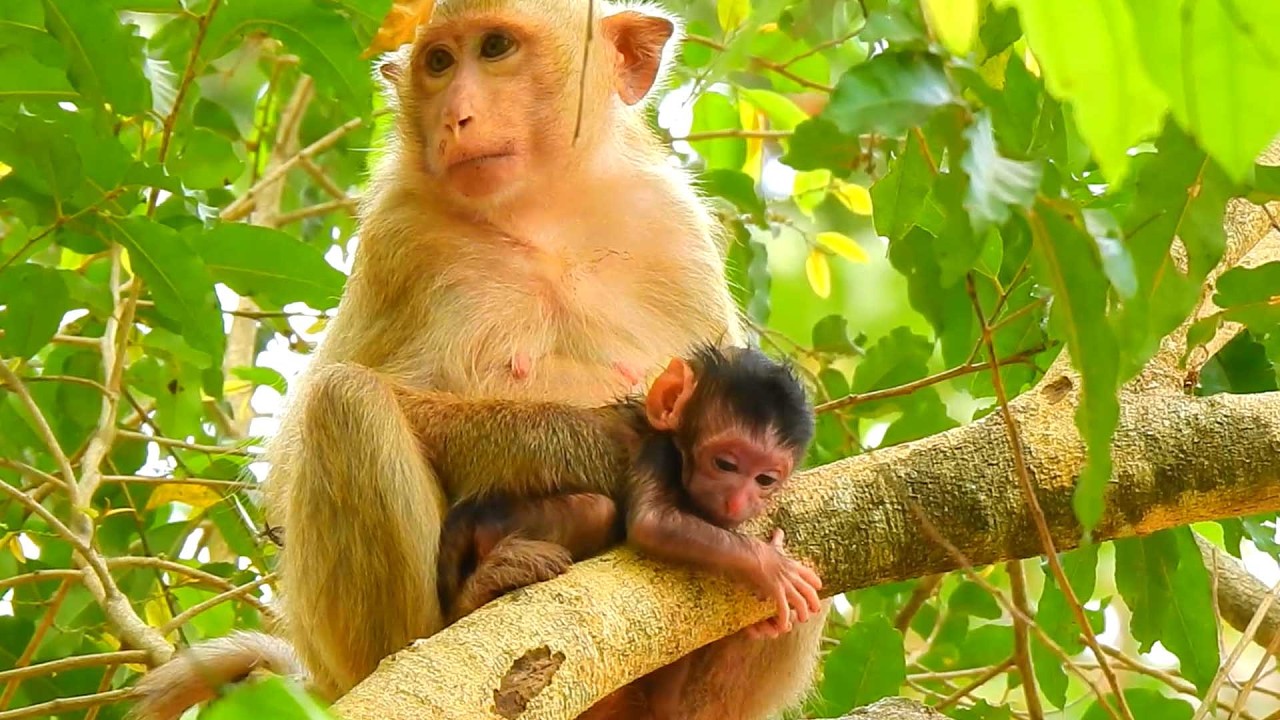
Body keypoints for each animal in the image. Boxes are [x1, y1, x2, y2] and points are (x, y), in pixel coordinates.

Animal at [426, 344, 821, 637]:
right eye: (725, 464)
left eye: (764, 479)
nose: (738, 501)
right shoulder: (658, 453)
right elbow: (653, 523)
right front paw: (770, 565)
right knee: (598, 511)